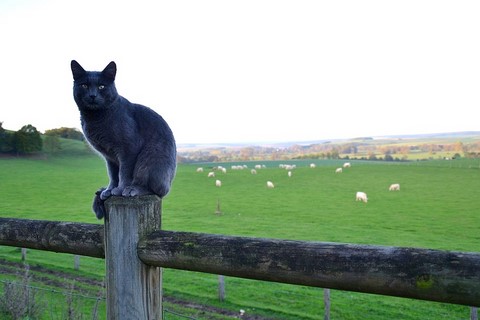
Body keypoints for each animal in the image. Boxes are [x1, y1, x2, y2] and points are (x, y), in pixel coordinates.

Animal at [71, 60, 176, 219]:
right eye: (84, 85)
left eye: (102, 86)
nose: (92, 95)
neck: (96, 118)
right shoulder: (109, 156)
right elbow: (113, 174)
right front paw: (109, 189)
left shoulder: (128, 148)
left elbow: (124, 172)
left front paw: (120, 189)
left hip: (150, 156)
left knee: (156, 190)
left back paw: (133, 189)